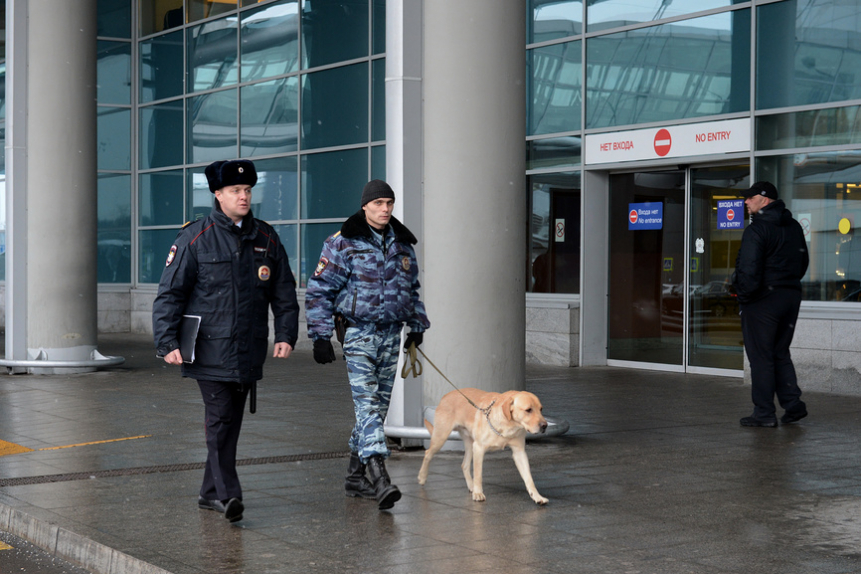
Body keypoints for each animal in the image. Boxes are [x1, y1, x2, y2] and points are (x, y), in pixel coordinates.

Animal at [418, 390, 552, 506]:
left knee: (464, 465)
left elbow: (529, 478)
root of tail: (446, 395)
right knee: (428, 453)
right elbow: (478, 474)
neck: (508, 425)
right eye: (528, 410)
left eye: (541, 409)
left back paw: (471, 486)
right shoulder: (479, 448)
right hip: (441, 437)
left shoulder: (519, 452)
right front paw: (478, 493)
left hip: (469, 444)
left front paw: (537, 496)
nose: (545, 426)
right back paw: (422, 476)